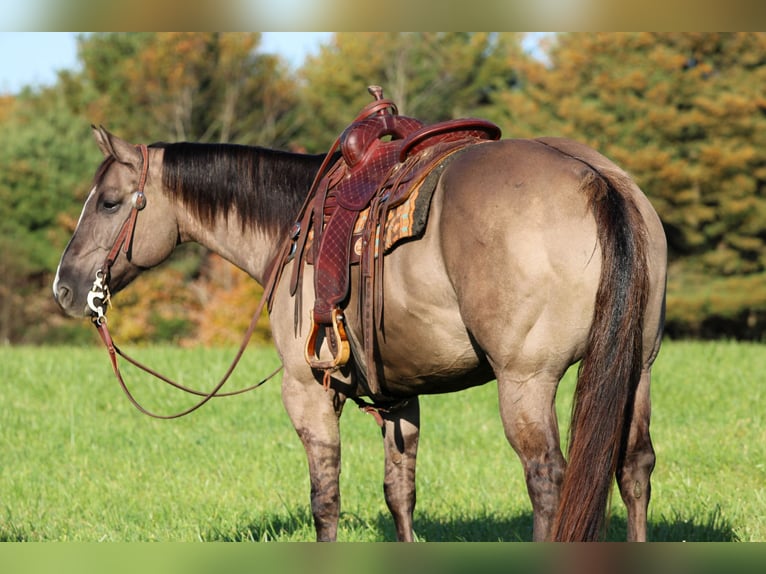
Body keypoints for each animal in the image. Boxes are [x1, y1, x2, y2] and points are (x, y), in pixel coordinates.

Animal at [53, 125, 667, 542]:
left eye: (109, 202)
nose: (66, 287)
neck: (290, 229)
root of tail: (598, 180)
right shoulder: (401, 396)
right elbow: (400, 494)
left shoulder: (306, 391)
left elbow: (325, 500)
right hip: (637, 370)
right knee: (633, 467)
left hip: (526, 381)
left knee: (547, 478)